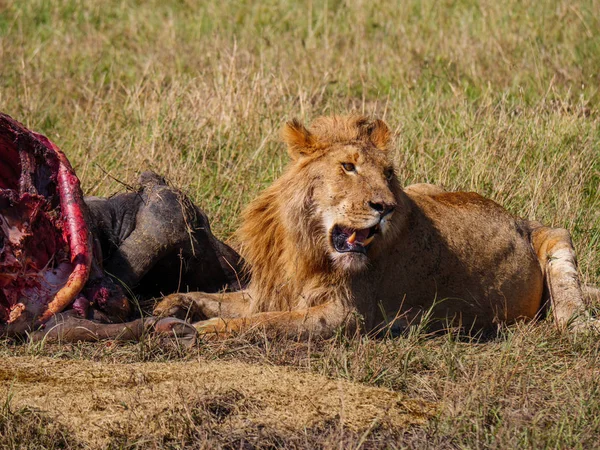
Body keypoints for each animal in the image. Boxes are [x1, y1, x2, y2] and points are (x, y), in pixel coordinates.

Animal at [154, 116, 596, 338]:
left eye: (387, 174)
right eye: (348, 166)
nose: (385, 207)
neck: (306, 246)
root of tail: (518, 220)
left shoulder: (348, 314)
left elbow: (264, 323)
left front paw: (208, 329)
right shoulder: (271, 291)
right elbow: (223, 298)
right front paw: (174, 304)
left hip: (554, 239)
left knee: (567, 290)